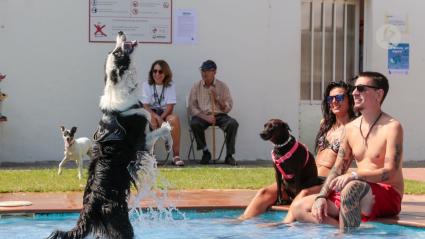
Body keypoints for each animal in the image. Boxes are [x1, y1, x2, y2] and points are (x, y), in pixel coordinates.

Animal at [47, 32, 164, 239]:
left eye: (112, 50)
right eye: (117, 52)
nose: (120, 32)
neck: (119, 86)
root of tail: (90, 207)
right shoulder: (142, 143)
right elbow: (160, 131)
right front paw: (166, 127)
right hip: (122, 224)